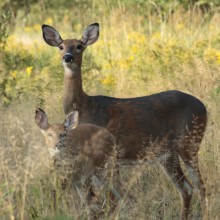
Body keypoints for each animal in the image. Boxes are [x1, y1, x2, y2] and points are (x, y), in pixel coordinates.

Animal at [41, 23, 208, 219]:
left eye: (79, 46)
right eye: (61, 46)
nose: (68, 57)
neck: (84, 107)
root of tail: (203, 107)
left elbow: (103, 199)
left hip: (190, 144)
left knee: (199, 185)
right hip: (168, 155)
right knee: (186, 188)